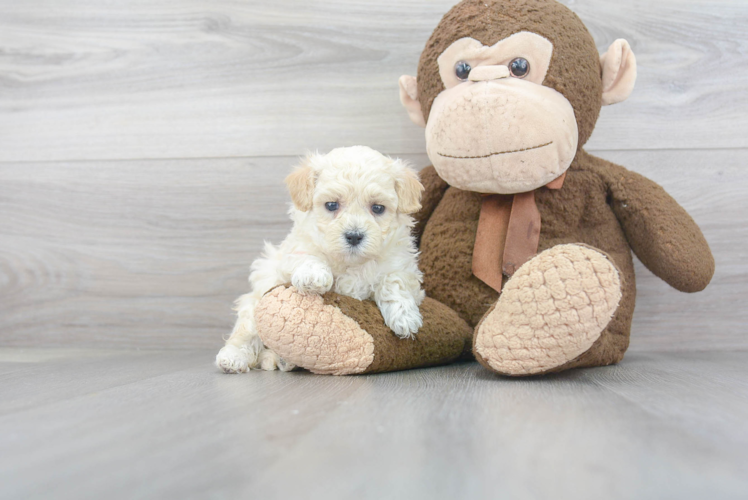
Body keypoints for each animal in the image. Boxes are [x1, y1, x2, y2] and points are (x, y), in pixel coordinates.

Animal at [216, 145, 426, 372]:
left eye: (377, 208)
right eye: (332, 205)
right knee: (246, 332)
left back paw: (283, 359)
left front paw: (404, 316)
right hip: (255, 301)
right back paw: (233, 357)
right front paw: (313, 275)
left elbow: (394, 281)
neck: (351, 263)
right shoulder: (292, 252)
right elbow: (307, 255)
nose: (354, 236)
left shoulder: (402, 264)